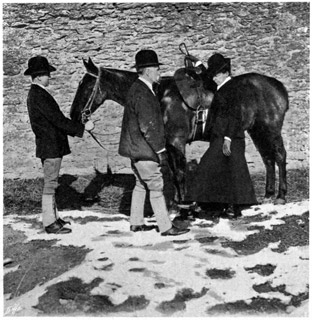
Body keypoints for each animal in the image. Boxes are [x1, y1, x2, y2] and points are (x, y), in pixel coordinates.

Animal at [70, 58, 288, 205]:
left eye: (86, 85)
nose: (73, 115)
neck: (161, 96)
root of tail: (277, 86)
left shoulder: (177, 141)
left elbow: (181, 173)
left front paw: (184, 202)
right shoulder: (168, 145)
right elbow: (175, 173)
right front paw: (177, 201)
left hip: (271, 130)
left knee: (279, 156)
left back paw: (281, 195)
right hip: (257, 131)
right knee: (267, 159)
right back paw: (268, 194)